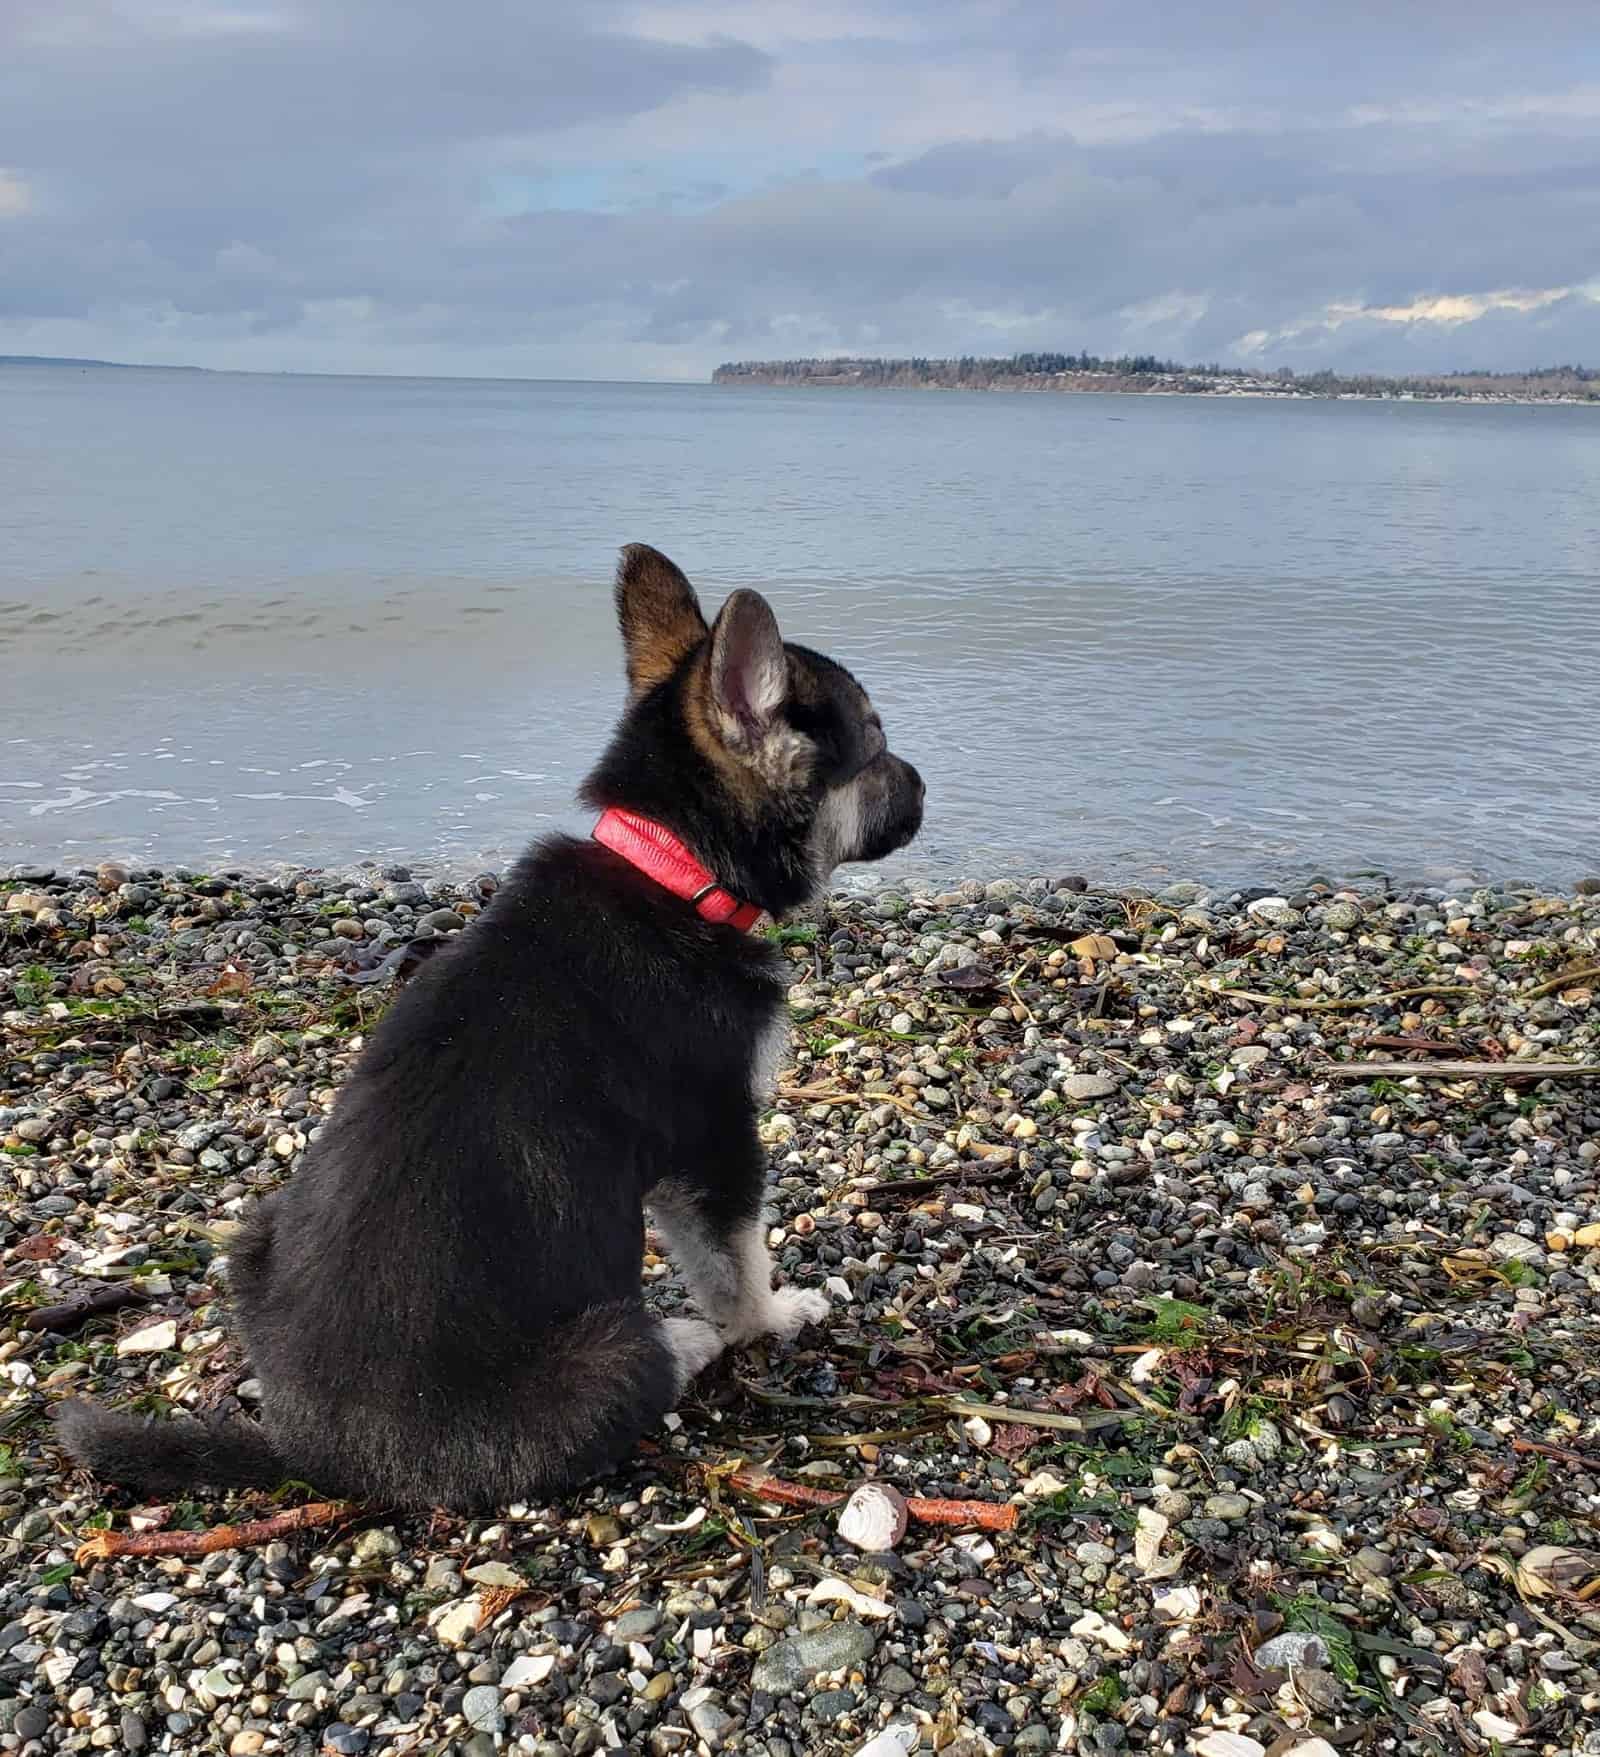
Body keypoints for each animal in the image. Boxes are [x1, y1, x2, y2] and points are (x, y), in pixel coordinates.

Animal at [56, 548, 927, 1511]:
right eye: (874, 746)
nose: (926, 784)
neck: (670, 866)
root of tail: (313, 1453)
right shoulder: (716, 1135)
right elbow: (737, 1259)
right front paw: (770, 1317)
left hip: (255, 1232)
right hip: (608, 1357)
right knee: (635, 1372)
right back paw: (687, 1341)